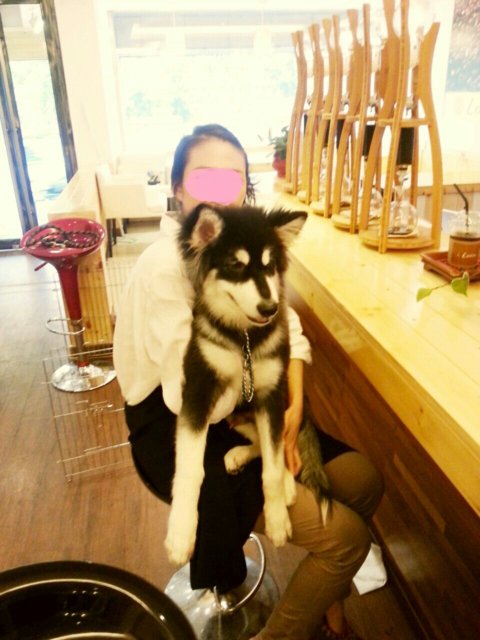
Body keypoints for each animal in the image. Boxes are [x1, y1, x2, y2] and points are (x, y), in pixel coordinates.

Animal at [164, 203, 324, 566]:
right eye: (235, 265)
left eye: (270, 266)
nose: (270, 308)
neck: (245, 339)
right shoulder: (198, 390)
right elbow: (191, 469)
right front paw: (181, 533)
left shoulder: (271, 394)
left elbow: (273, 465)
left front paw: (278, 519)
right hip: (234, 414)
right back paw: (238, 455)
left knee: (277, 446)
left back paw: (283, 480)